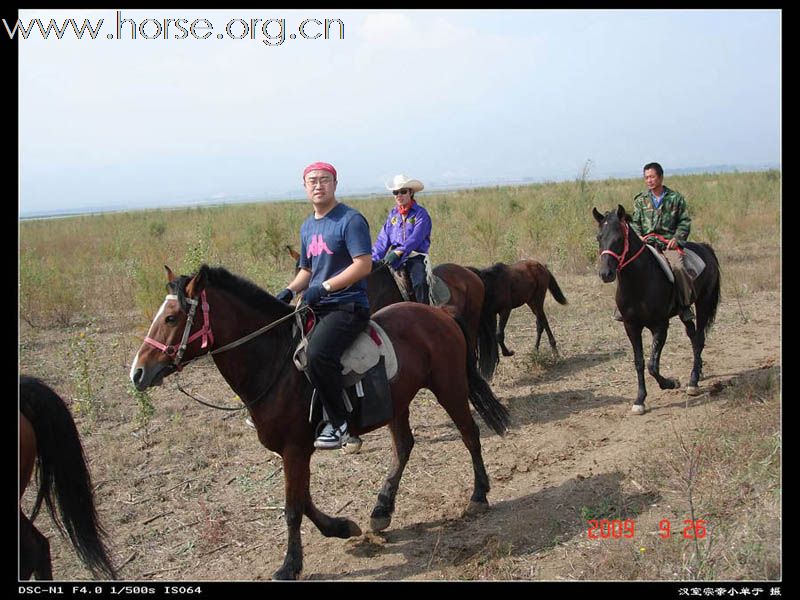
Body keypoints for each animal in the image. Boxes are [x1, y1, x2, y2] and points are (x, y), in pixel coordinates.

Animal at [128, 264, 510, 580]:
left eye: (172, 318)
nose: (138, 373)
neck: (275, 362)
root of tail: (439, 312)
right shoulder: (294, 450)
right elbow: (304, 499)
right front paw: (341, 527)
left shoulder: (295, 448)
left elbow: (293, 508)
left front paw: (290, 565)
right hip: (397, 403)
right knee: (404, 447)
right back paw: (382, 509)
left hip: (450, 387)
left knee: (470, 434)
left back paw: (478, 495)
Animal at [592, 206, 720, 412]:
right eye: (599, 237)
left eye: (619, 238)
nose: (605, 273)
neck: (639, 282)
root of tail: (704, 247)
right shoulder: (631, 326)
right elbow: (639, 362)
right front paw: (639, 400)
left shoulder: (660, 326)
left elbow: (653, 365)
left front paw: (671, 383)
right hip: (685, 313)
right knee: (693, 337)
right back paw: (698, 373)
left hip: (703, 303)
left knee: (699, 339)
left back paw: (693, 382)